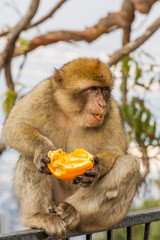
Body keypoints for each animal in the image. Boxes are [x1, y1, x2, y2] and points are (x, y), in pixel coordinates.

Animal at [2, 57, 139, 238]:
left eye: (104, 90)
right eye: (93, 89)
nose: (102, 103)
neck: (73, 116)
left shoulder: (112, 111)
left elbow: (115, 150)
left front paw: (96, 168)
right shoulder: (43, 93)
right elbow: (15, 124)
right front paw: (43, 148)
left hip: (103, 217)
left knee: (129, 165)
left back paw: (72, 211)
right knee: (30, 158)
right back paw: (38, 215)